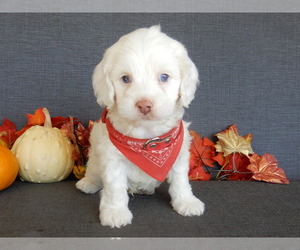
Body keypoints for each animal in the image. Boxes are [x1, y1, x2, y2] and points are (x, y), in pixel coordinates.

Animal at [76, 25, 205, 229]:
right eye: (125, 79)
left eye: (164, 77)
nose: (144, 105)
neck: (147, 137)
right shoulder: (112, 159)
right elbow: (115, 187)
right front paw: (115, 212)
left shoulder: (178, 154)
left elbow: (180, 180)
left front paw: (186, 201)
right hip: (95, 156)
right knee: (93, 170)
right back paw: (88, 183)